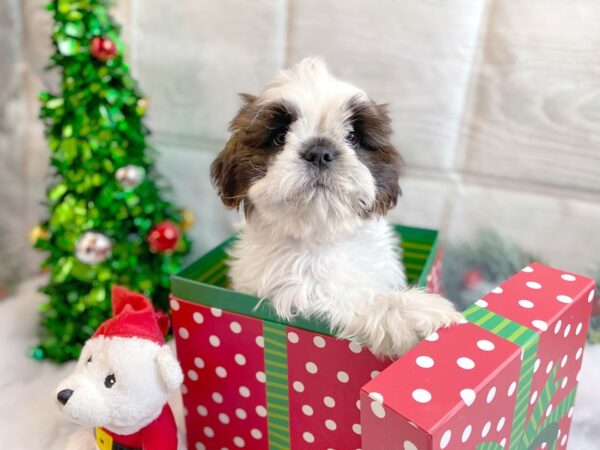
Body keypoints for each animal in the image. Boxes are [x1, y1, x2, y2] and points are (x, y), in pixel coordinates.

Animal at [211, 57, 460, 358]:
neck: (322, 235)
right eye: (280, 137)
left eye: (352, 137)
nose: (319, 152)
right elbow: (335, 295)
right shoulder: (287, 289)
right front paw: (410, 311)